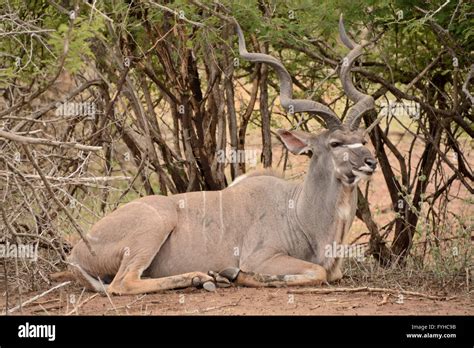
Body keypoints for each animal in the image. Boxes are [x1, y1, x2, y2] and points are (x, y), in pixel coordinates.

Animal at [65, 16, 378, 294]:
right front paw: (239, 275)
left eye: (362, 139)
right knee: (122, 283)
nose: (370, 161)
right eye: (335, 143)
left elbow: (329, 273)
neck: (297, 211)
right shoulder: (261, 257)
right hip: (153, 227)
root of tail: (78, 253)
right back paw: (203, 277)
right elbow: (318, 272)